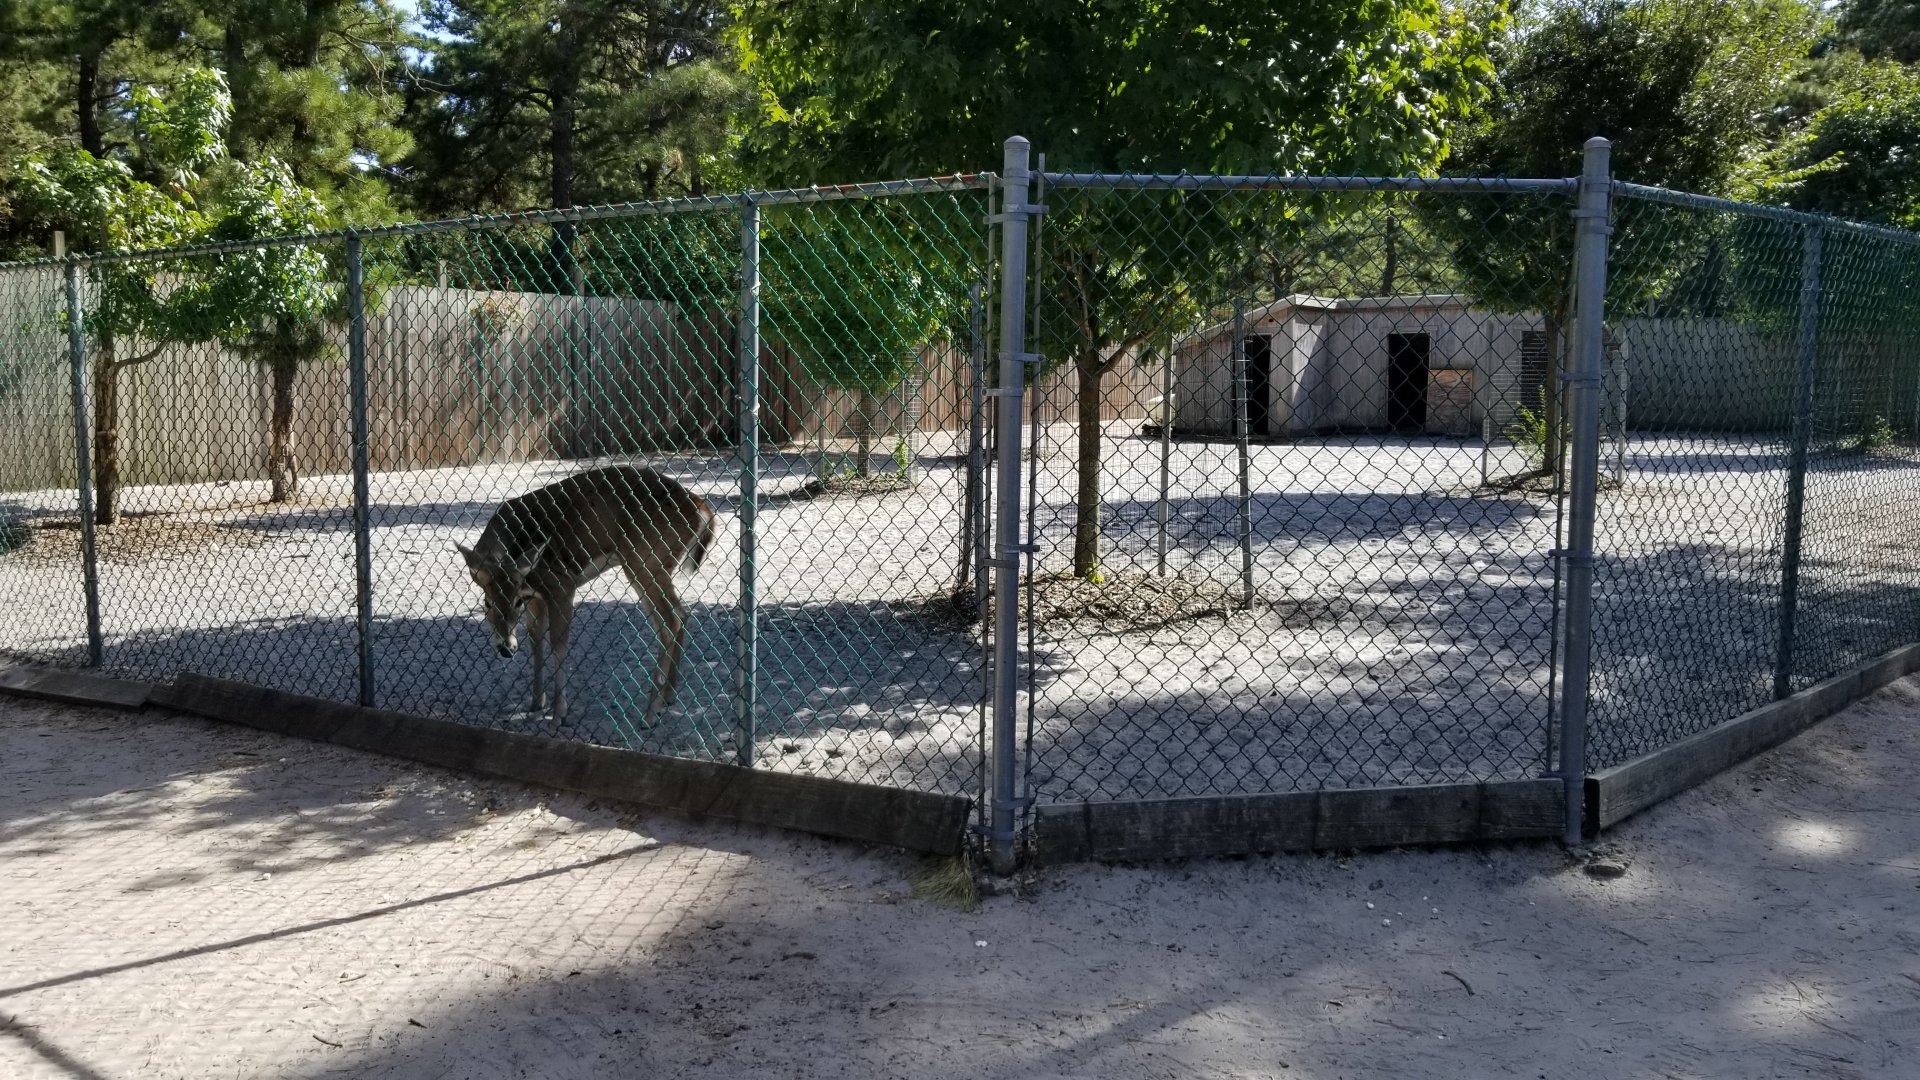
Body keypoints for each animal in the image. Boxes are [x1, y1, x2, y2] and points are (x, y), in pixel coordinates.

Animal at [457, 464, 716, 727]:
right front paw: (535, 703)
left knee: (670, 620)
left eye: (515, 601)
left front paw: (558, 714)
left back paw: (651, 714)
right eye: (487, 603)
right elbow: (535, 641)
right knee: (678, 614)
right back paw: (668, 697)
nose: (506, 649)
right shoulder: (535, 596)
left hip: (646, 560)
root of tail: (702, 511)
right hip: (650, 566)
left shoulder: (561, 583)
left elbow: (558, 645)